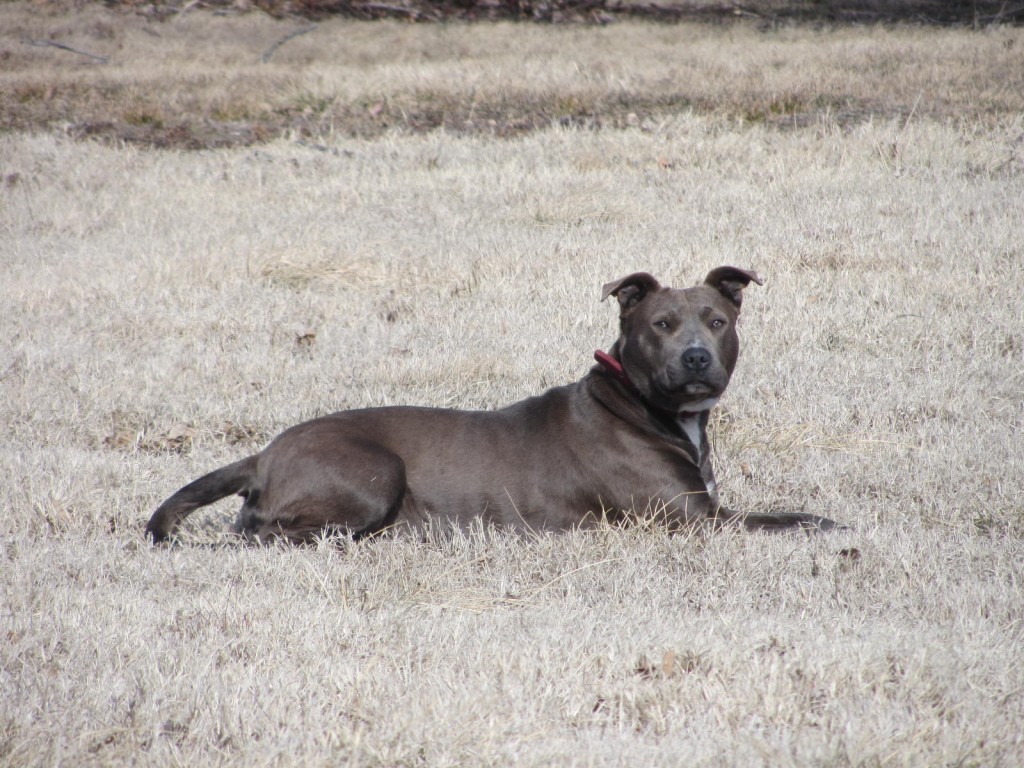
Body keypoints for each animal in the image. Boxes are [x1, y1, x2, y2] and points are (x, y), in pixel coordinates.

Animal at [148, 268, 835, 544]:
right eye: (661, 324)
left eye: (717, 321)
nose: (695, 358)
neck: (641, 406)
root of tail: (263, 454)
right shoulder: (699, 520)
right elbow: (786, 519)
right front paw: (826, 524)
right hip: (373, 473)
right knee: (262, 534)